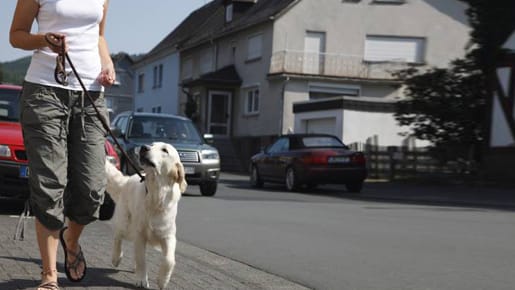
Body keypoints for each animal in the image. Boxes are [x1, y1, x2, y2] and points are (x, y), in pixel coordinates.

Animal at [105, 142, 187, 288]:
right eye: (153, 144)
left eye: (164, 150)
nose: (144, 147)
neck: (156, 195)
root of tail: (127, 179)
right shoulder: (140, 234)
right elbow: (141, 260)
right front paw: (142, 280)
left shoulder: (168, 236)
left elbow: (169, 260)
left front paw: (162, 280)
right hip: (127, 224)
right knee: (118, 236)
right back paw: (116, 258)